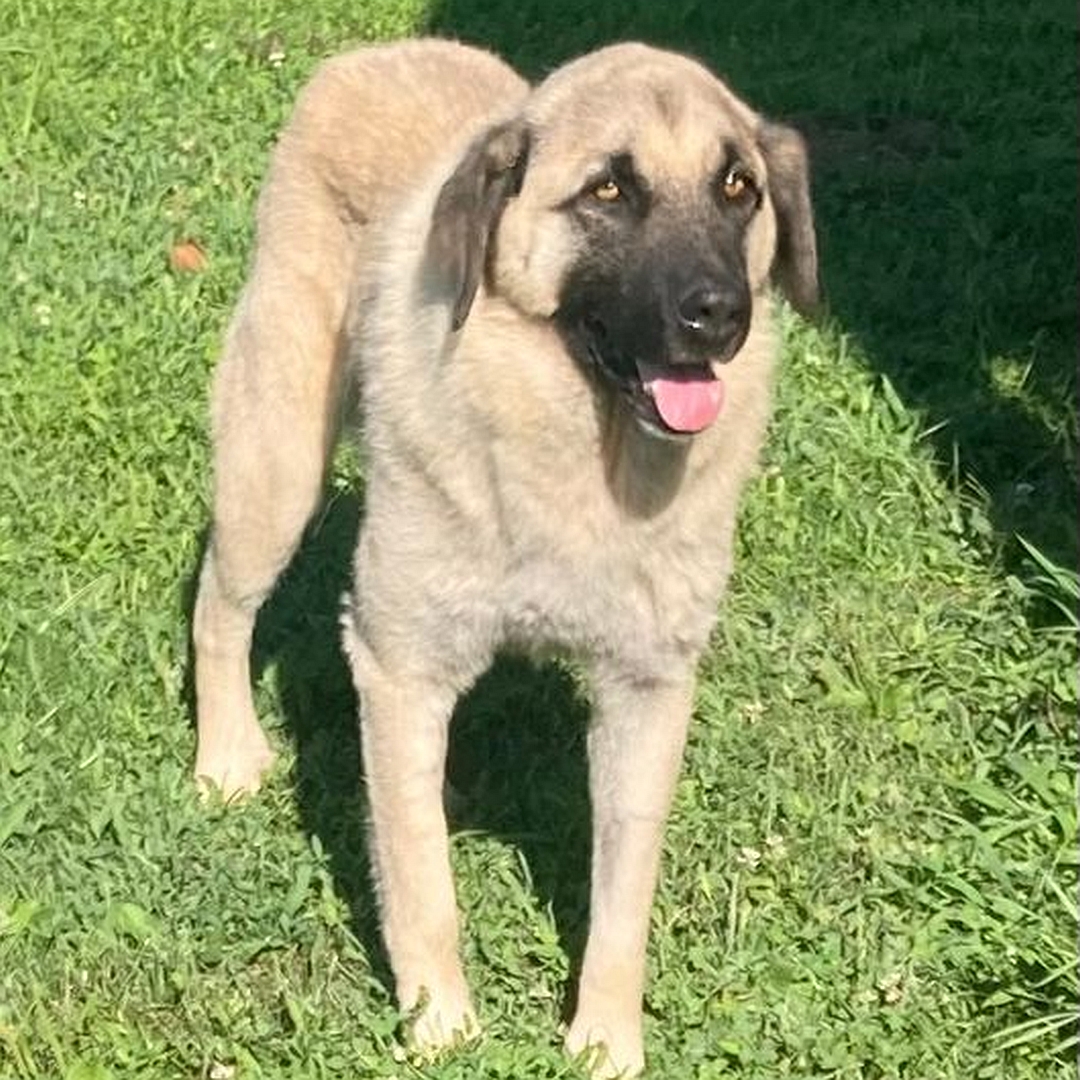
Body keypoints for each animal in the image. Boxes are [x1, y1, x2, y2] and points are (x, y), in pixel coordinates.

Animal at [194, 35, 816, 1080]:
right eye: (609, 190)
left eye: (738, 187)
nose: (720, 315)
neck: (578, 456)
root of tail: (376, 53)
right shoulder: (400, 665)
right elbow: (421, 881)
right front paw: (440, 1027)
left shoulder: (648, 691)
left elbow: (622, 898)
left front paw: (606, 1042)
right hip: (274, 469)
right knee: (219, 605)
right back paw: (226, 756)